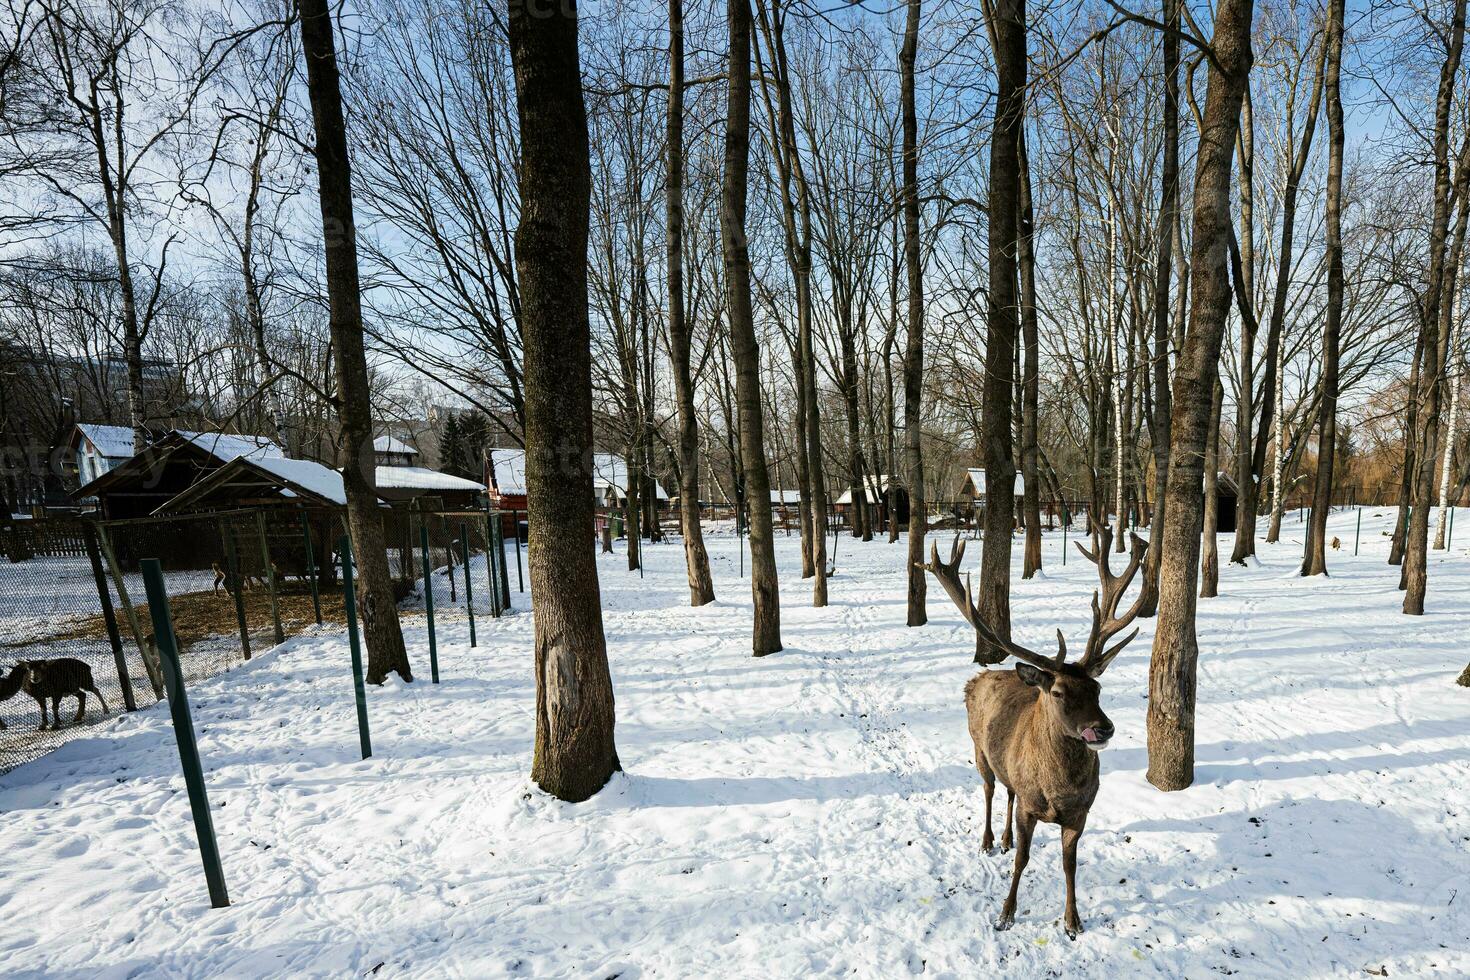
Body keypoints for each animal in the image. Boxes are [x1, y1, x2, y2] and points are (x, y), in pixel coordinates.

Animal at [917, 525, 1146, 940]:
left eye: (1097, 688)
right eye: (1058, 692)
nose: (1103, 728)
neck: (1059, 790)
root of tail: (980, 677)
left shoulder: (1080, 813)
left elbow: (1070, 865)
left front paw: (1073, 921)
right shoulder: (1030, 806)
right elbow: (1023, 860)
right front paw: (1005, 914)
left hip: (1007, 765)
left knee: (1008, 790)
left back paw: (1004, 837)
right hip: (978, 748)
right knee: (990, 789)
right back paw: (990, 840)